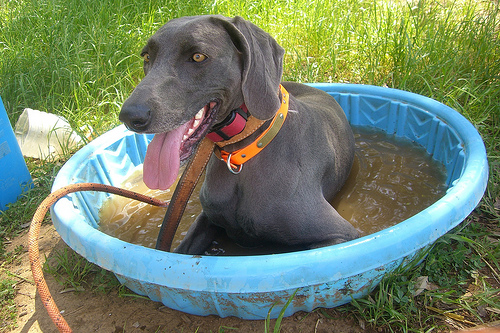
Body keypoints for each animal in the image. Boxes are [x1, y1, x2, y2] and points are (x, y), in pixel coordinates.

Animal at [118, 15, 358, 253]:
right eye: (147, 56)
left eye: (198, 56)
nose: (130, 116)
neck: (241, 152)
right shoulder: (207, 218)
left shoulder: (340, 235)